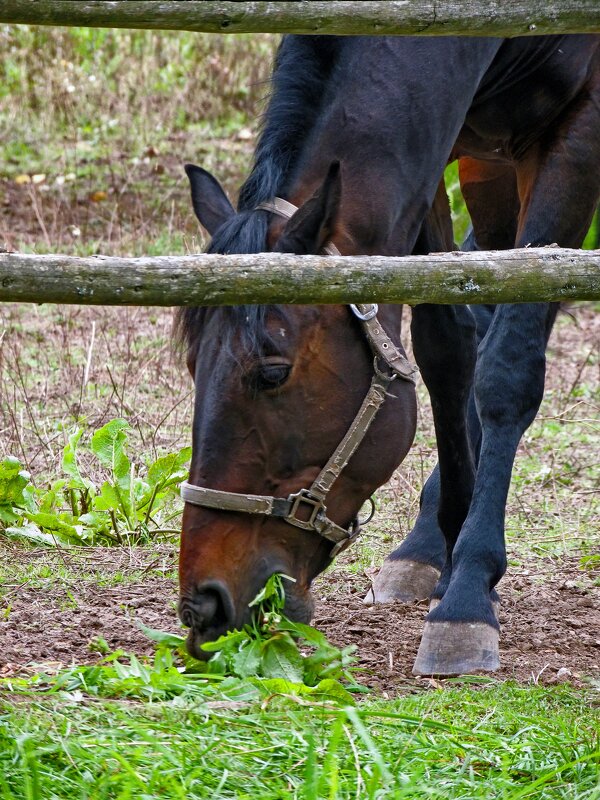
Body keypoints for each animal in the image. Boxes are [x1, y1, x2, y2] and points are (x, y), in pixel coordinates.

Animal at [178, 37, 600, 676]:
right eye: (191, 366)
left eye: (273, 373)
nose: (204, 602)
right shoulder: (436, 144)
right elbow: (446, 343)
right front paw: (446, 538)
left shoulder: (576, 135)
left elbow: (507, 368)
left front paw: (467, 591)